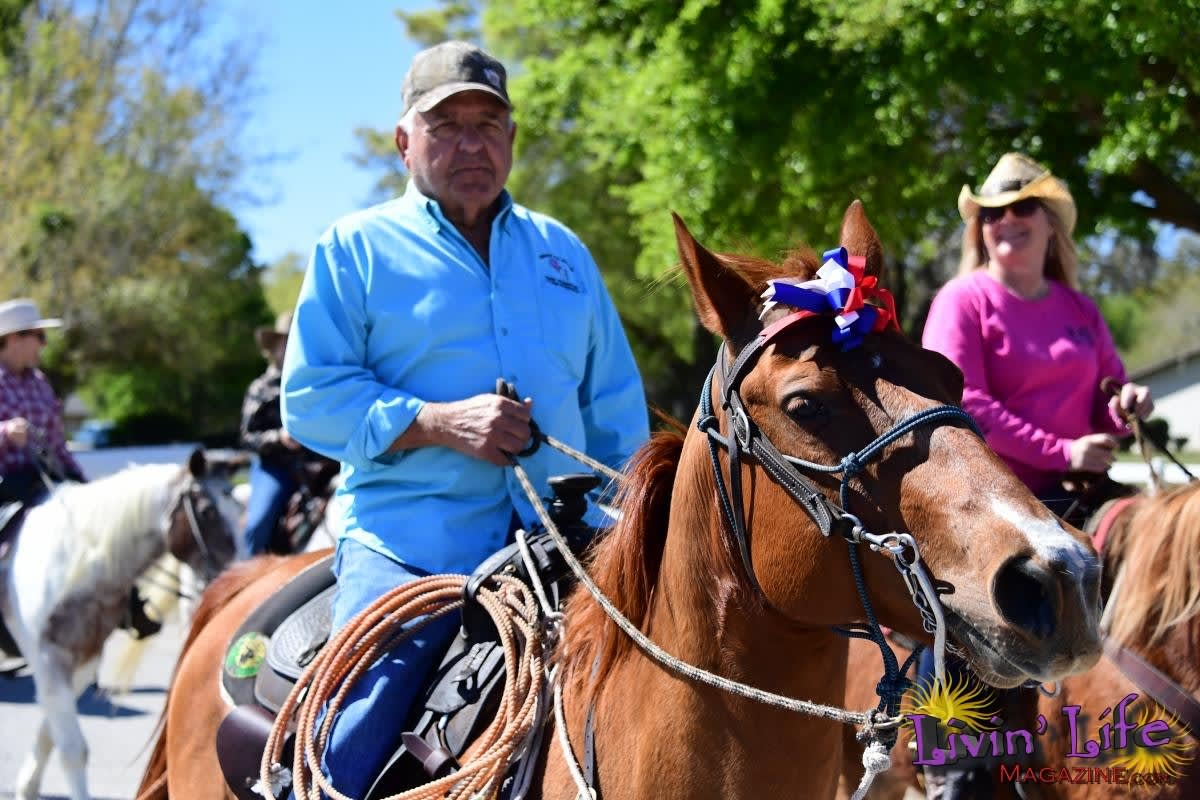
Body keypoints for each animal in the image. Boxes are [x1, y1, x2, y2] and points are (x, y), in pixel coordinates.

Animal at [0, 450, 236, 800]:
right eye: (207, 512)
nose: (242, 569)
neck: (74, 560)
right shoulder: (48, 658)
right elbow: (72, 749)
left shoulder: (85, 660)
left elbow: (50, 732)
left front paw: (27, 786)